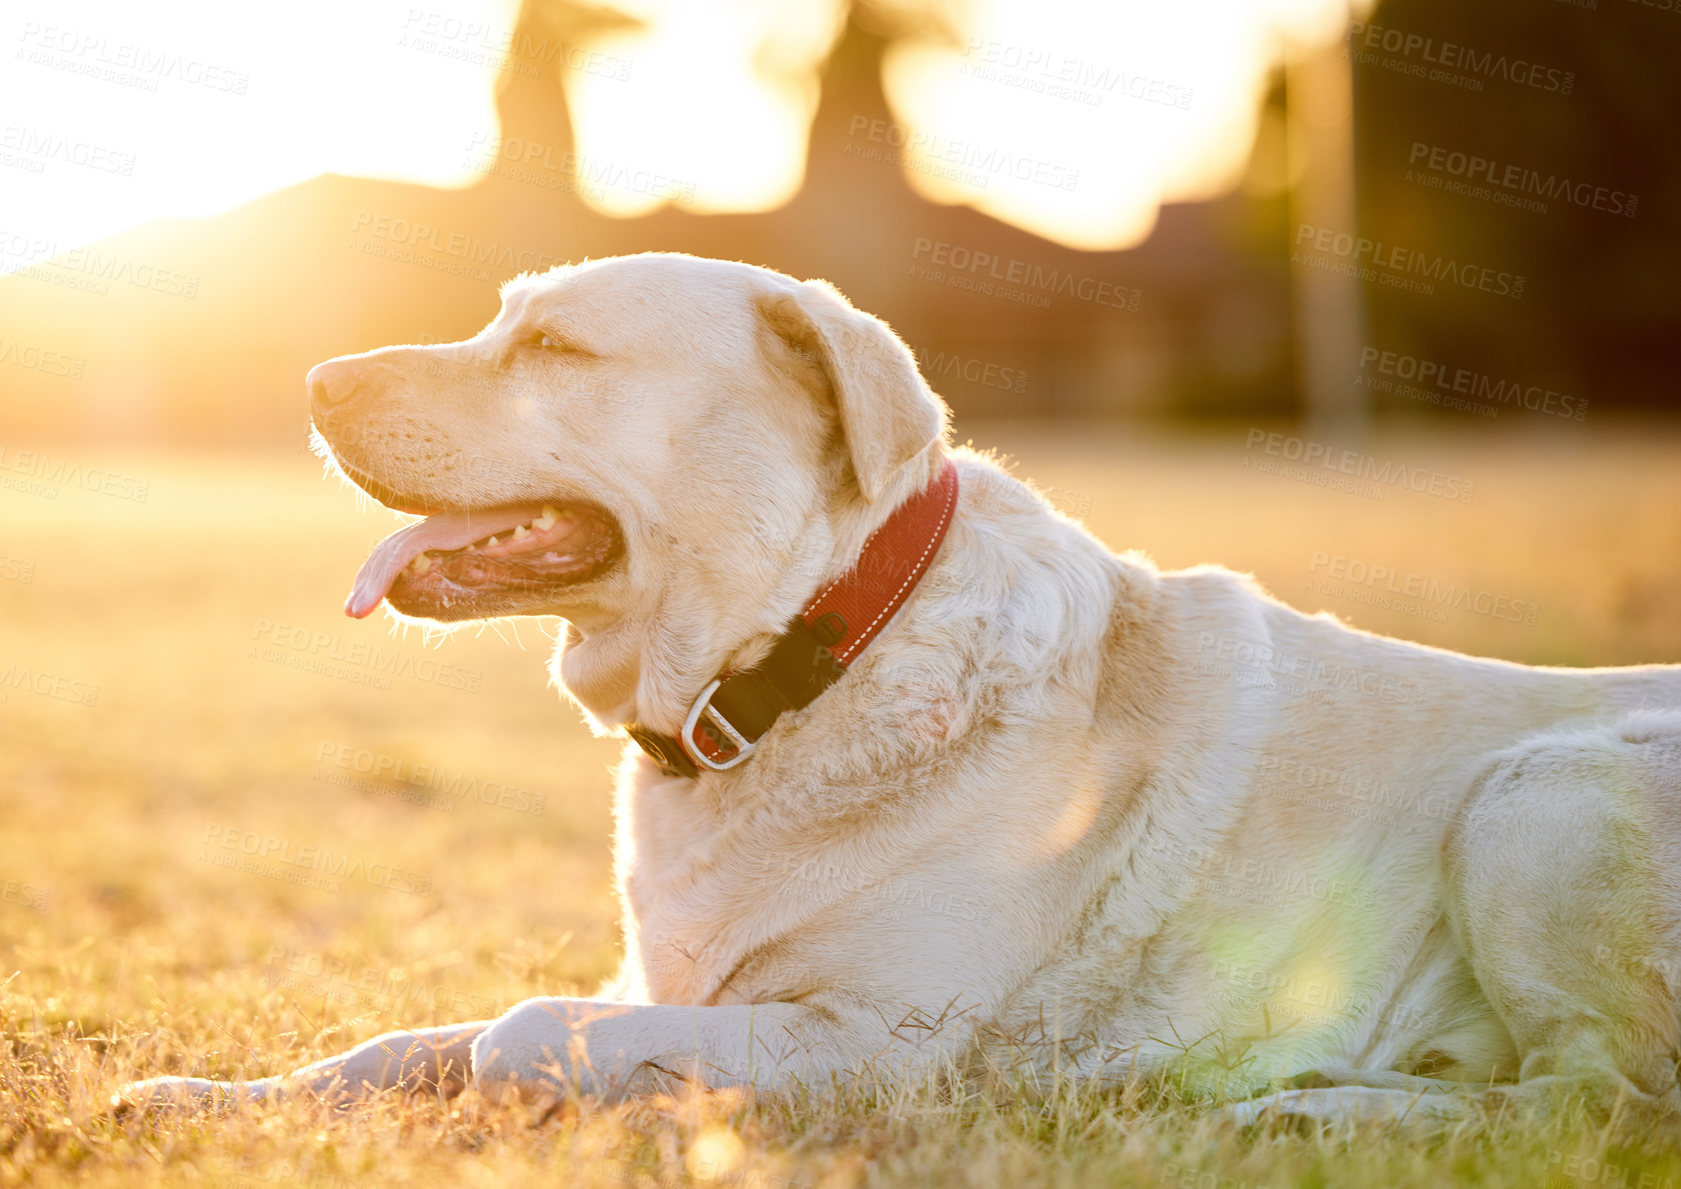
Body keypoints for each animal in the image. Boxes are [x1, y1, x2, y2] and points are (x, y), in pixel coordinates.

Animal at [118, 250, 1681, 1123]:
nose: (314, 380)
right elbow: (400, 1040)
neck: (797, 667)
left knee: (1586, 1102)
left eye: (554, 347)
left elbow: (513, 1035)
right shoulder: (657, 982)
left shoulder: (868, 1040)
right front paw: (213, 1095)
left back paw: (1310, 1115)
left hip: (1536, 794)